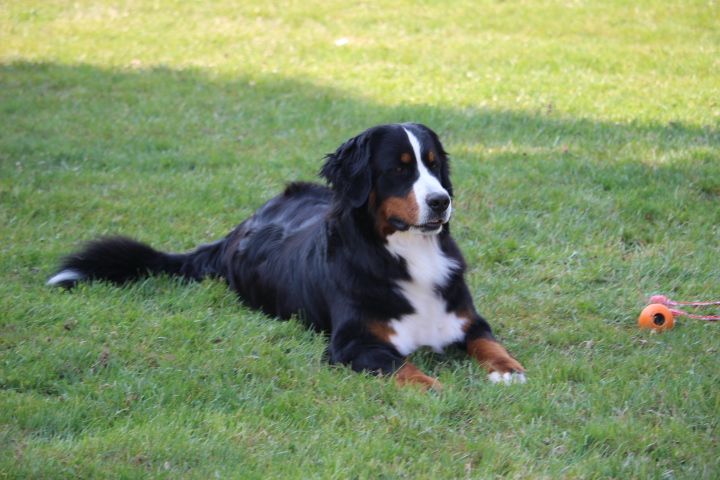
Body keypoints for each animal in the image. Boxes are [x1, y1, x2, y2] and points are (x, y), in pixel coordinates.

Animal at [47, 124, 524, 390]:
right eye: (400, 168)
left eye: (433, 163)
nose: (441, 201)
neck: (408, 254)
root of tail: (234, 231)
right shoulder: (353, 344)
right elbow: (401, 367)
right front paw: (432, 386)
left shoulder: (466, 320)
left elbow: (489, 342)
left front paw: (508, 370)